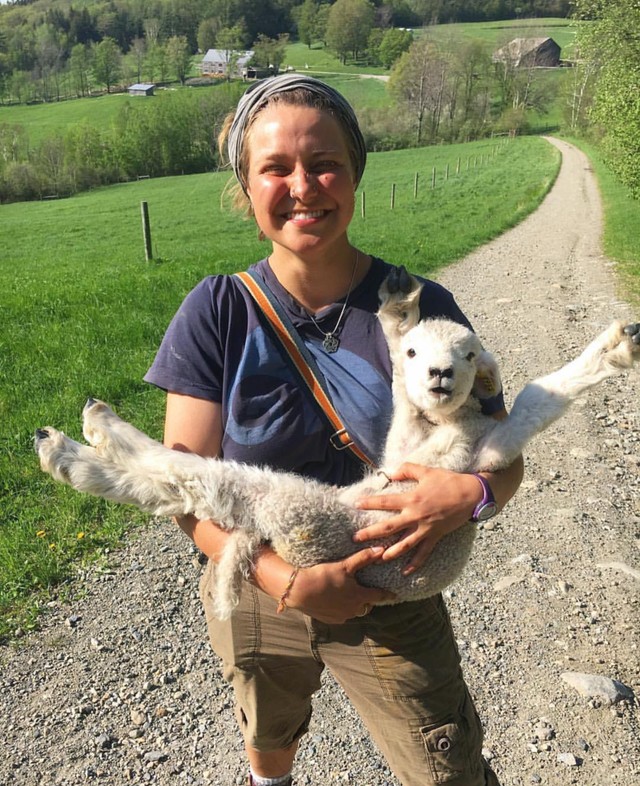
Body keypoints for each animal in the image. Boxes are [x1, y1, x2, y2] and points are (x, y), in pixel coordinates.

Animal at [36, 270, 640, 620]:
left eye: (470, 356)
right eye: (419, 354)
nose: (441, 374)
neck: (439, 426)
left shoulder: (480, 453)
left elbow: (539, 398)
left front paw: (613, 351)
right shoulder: (402, 442)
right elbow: (397, 378)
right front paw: (398, 311)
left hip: (300, 511)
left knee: (189, 478)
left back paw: (77, 444)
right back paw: (73, 437)